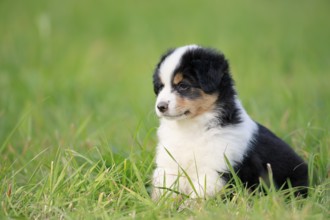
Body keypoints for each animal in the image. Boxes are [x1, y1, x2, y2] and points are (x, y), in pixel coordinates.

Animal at [151, 44, 308, 199]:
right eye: (160, 87)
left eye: (183, 85)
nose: (161, 107)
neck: (190, 127)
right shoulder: (169, 165)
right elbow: (165, 191)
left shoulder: (214, 170)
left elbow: (198, 197)